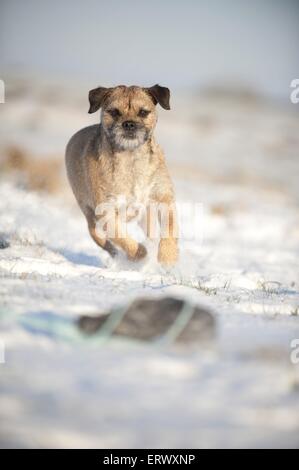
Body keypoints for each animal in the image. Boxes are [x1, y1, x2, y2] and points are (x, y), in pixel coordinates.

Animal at [65, 83, 178, 264]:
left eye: (143, 112)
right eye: (114, 112)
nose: (129, 124)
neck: (131, 158)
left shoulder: (163, 197)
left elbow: (170, 226)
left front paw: (168, 256)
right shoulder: (106, 212)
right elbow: (122, 238)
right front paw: (140, 254)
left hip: (146, 215)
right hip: (90, 217)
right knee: (104, 241)